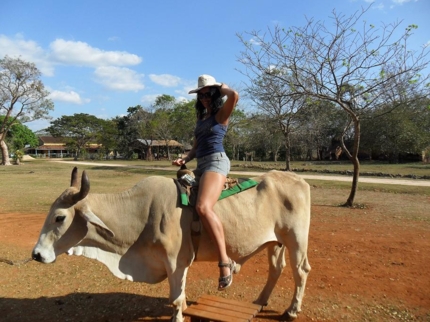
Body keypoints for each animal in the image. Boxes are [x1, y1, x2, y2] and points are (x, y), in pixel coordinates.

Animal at [32, 167, 310, 320]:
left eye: (60, 217)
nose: (37, 254)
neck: (142, 212)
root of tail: (299, 180)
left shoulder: (176, 262)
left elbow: (176, 300)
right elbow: (179, 297)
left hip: (296, 240)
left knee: (300, 271)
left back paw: (292, 310)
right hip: (275, 242)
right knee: (276, 268)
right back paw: (260, 301)